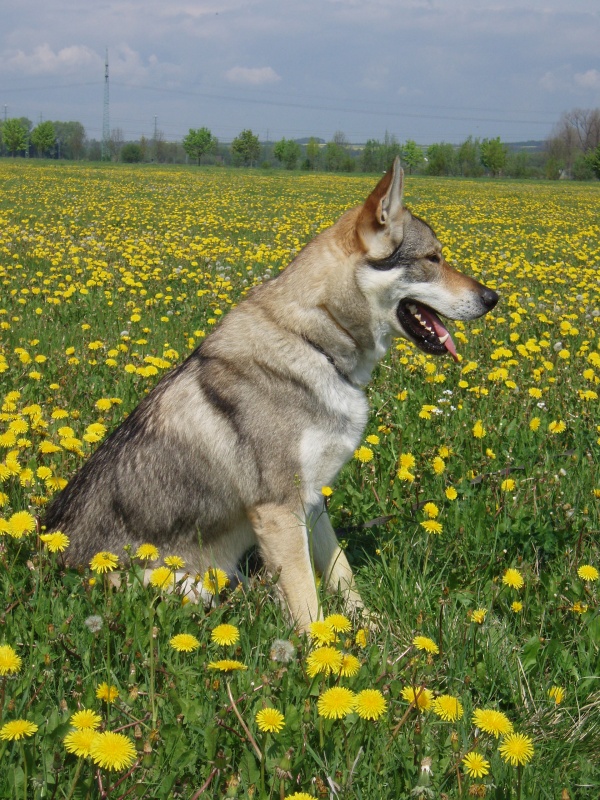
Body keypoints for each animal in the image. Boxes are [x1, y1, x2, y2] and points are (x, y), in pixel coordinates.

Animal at [44, 158, 500, 632]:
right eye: (433, 258)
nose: (494, 297)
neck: (314, 345)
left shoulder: (311, 501)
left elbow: (341, 574)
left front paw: (367, 631)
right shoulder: (279, 509)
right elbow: (307, 600)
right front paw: (321, 644)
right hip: (186, 583)